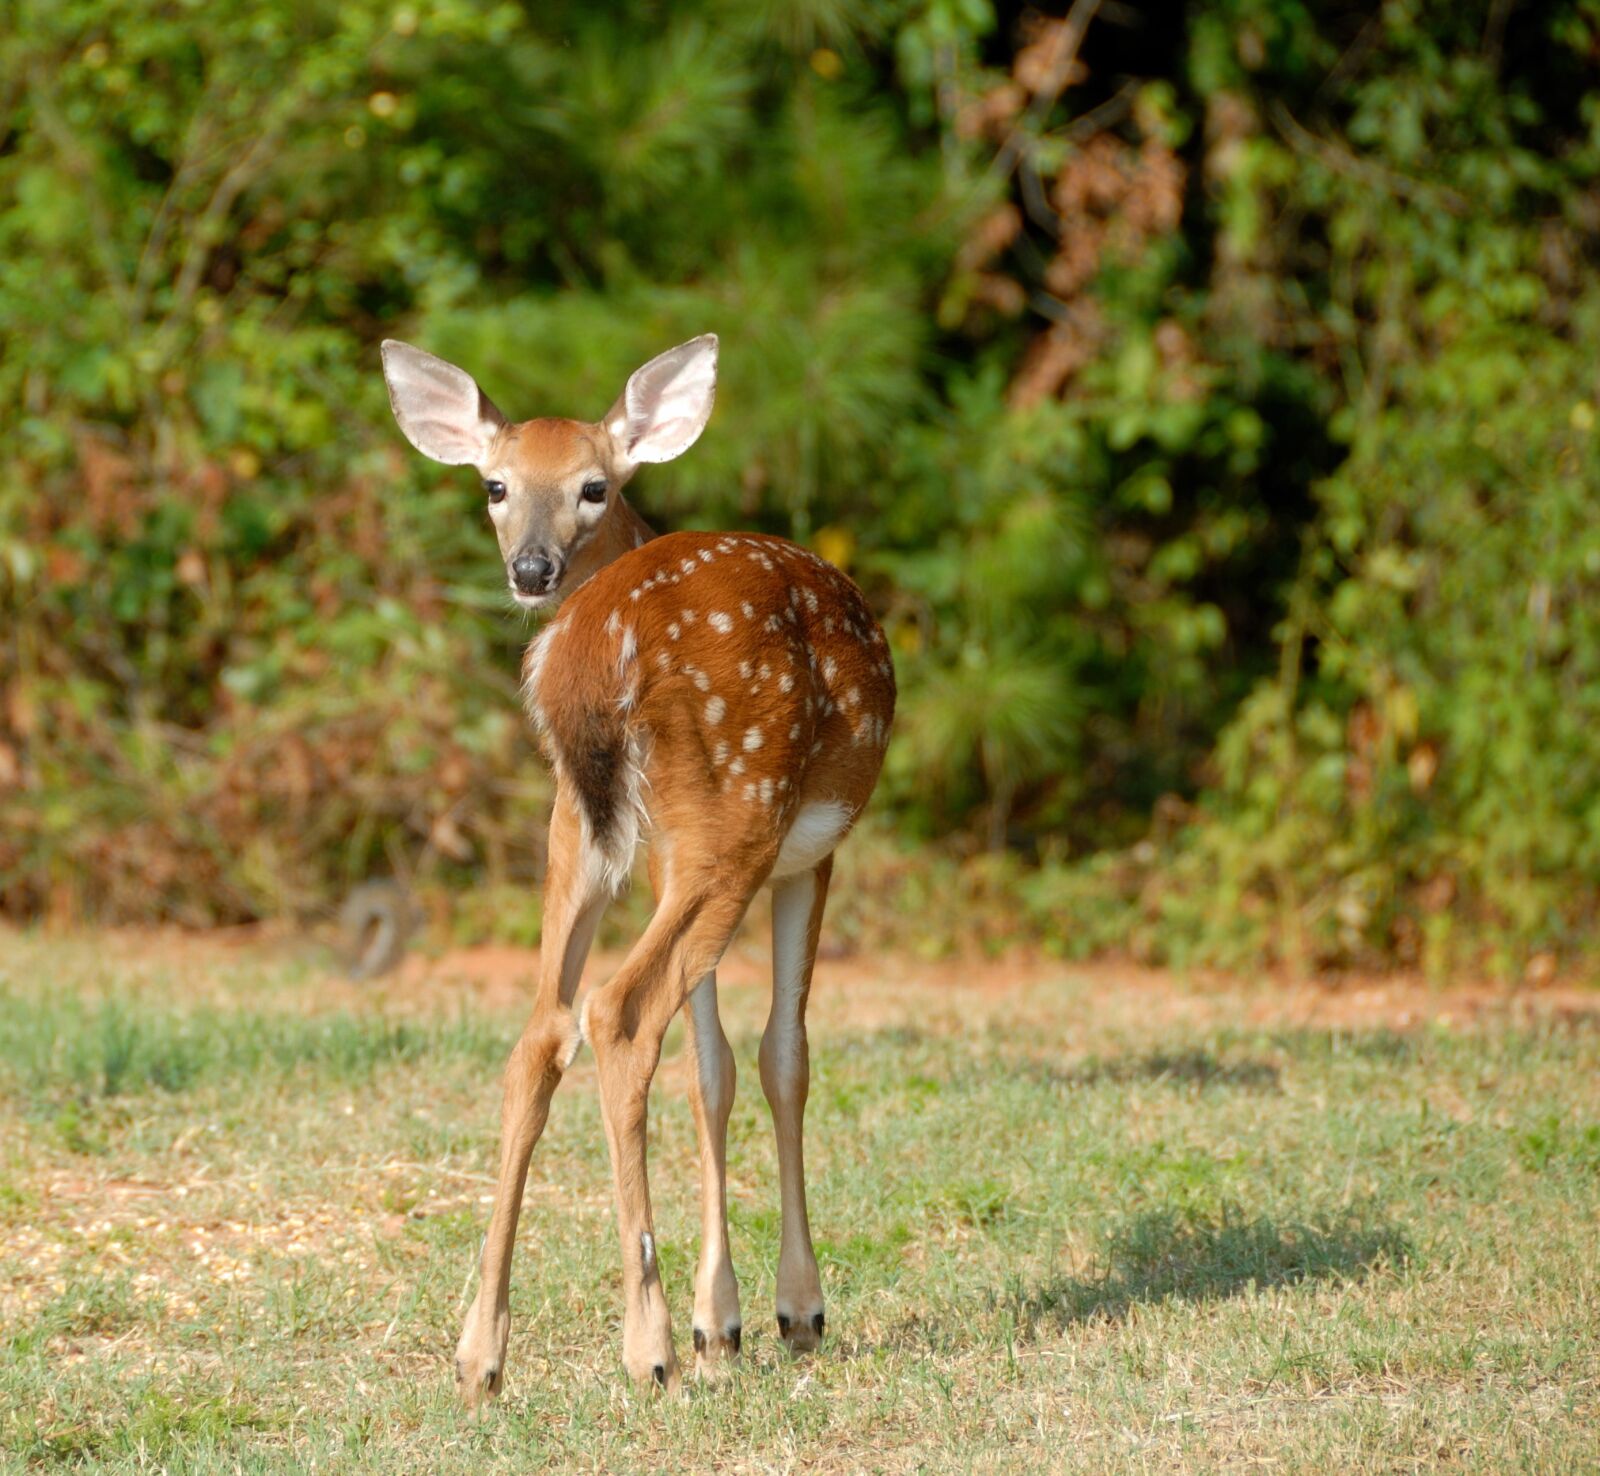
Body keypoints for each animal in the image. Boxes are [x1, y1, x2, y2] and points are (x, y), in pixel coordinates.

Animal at [379, 332, 896, 1402]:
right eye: (494, 484)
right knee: (617, 1010)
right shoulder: (810, 854)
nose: (532, 568)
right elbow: (782, 1055)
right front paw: (788, 1313)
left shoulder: (653, 853)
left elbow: (714, 1067)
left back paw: (481, 1355)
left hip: (576, 826)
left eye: (592, 486)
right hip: (740, 812)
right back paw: (646, 1347)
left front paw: (723, 1323)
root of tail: (590, 651)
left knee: (542, 1029)